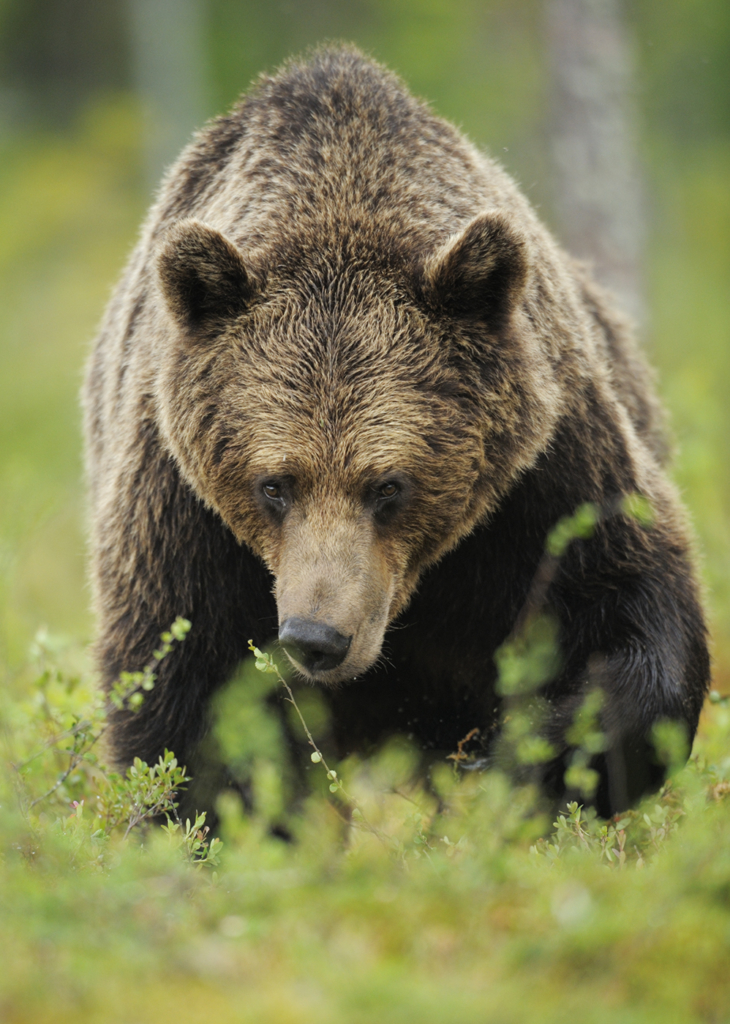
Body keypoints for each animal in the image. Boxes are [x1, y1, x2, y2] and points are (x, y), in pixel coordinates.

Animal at [82, 46, 708, 815]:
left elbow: (632, 601)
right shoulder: (180, 506)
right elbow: (182, 700)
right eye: (274, 484)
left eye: (389, 485)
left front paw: (520, 758)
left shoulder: (544, 473)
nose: (317, 638)